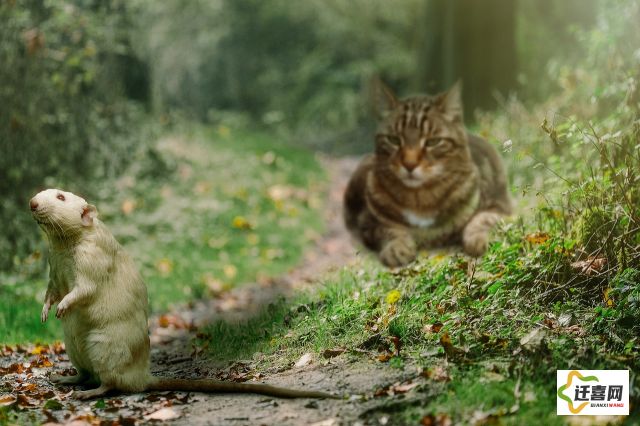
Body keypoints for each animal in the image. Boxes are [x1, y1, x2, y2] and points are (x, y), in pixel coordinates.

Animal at [342, 80, 512, 266]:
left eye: (433, 142)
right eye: (394, 140)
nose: (409, 164)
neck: (421, 198)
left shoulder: (500, 206)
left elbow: (482, 219)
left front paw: (477, 240)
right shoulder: (367, 222)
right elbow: (388, 230)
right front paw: (397, 248)